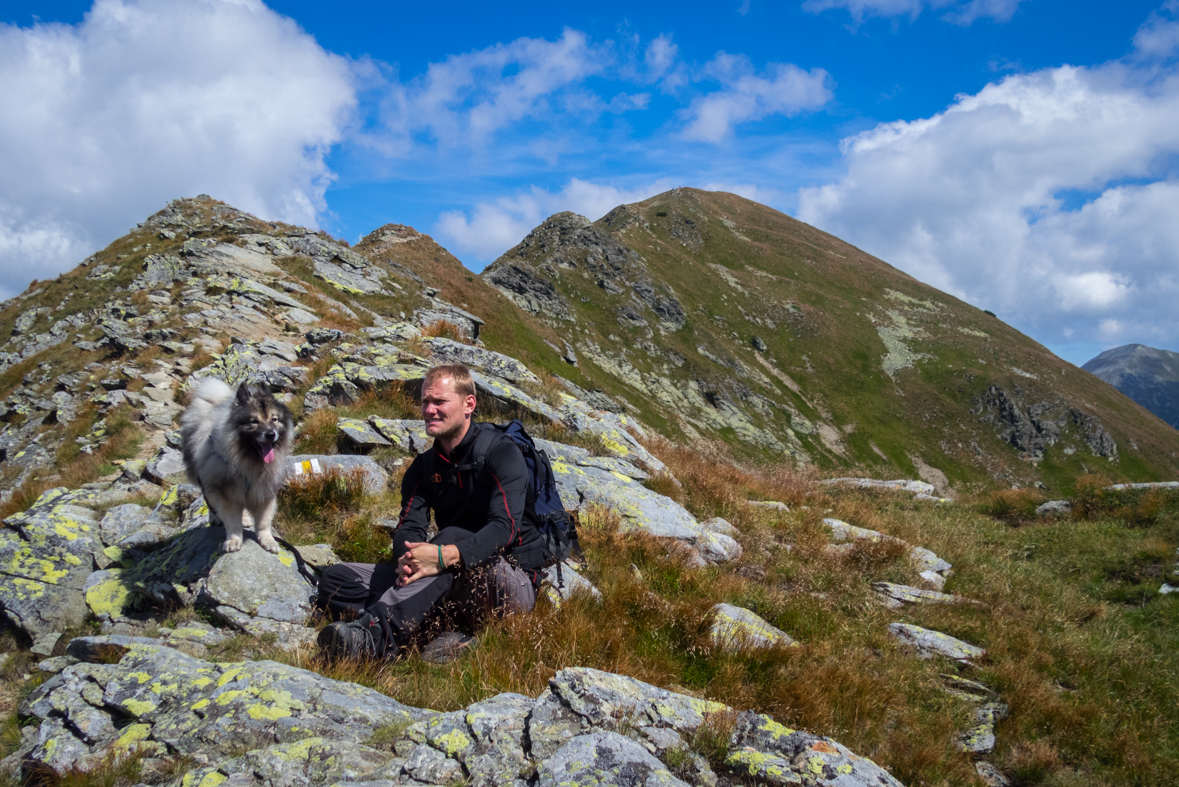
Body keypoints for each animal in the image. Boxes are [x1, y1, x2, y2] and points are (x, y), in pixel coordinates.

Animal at [183, 377, 297, 553]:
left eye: (274, 419)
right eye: (254, 422)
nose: (271, 434)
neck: (249, 460)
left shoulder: (264, 491)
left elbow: (264, 522)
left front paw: (267, 540)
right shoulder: (226, 493)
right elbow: (232, 522)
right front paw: (234, 540)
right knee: (210, 502)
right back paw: (215, 518)